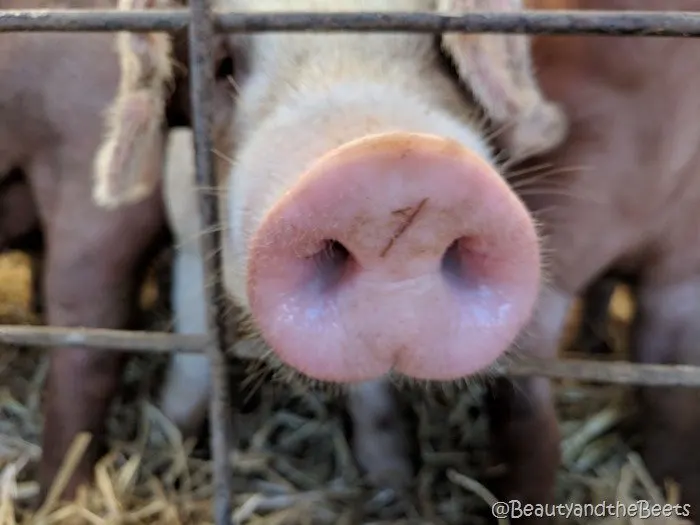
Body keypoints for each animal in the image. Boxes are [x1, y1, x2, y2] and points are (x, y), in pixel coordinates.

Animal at [106, 0, 572, 508]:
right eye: (222, 64)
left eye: (442, 54)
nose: (386, 159)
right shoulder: (188, 237)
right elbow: (193, 346)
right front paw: (165, 438)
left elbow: (372, 393)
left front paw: (392, 477)